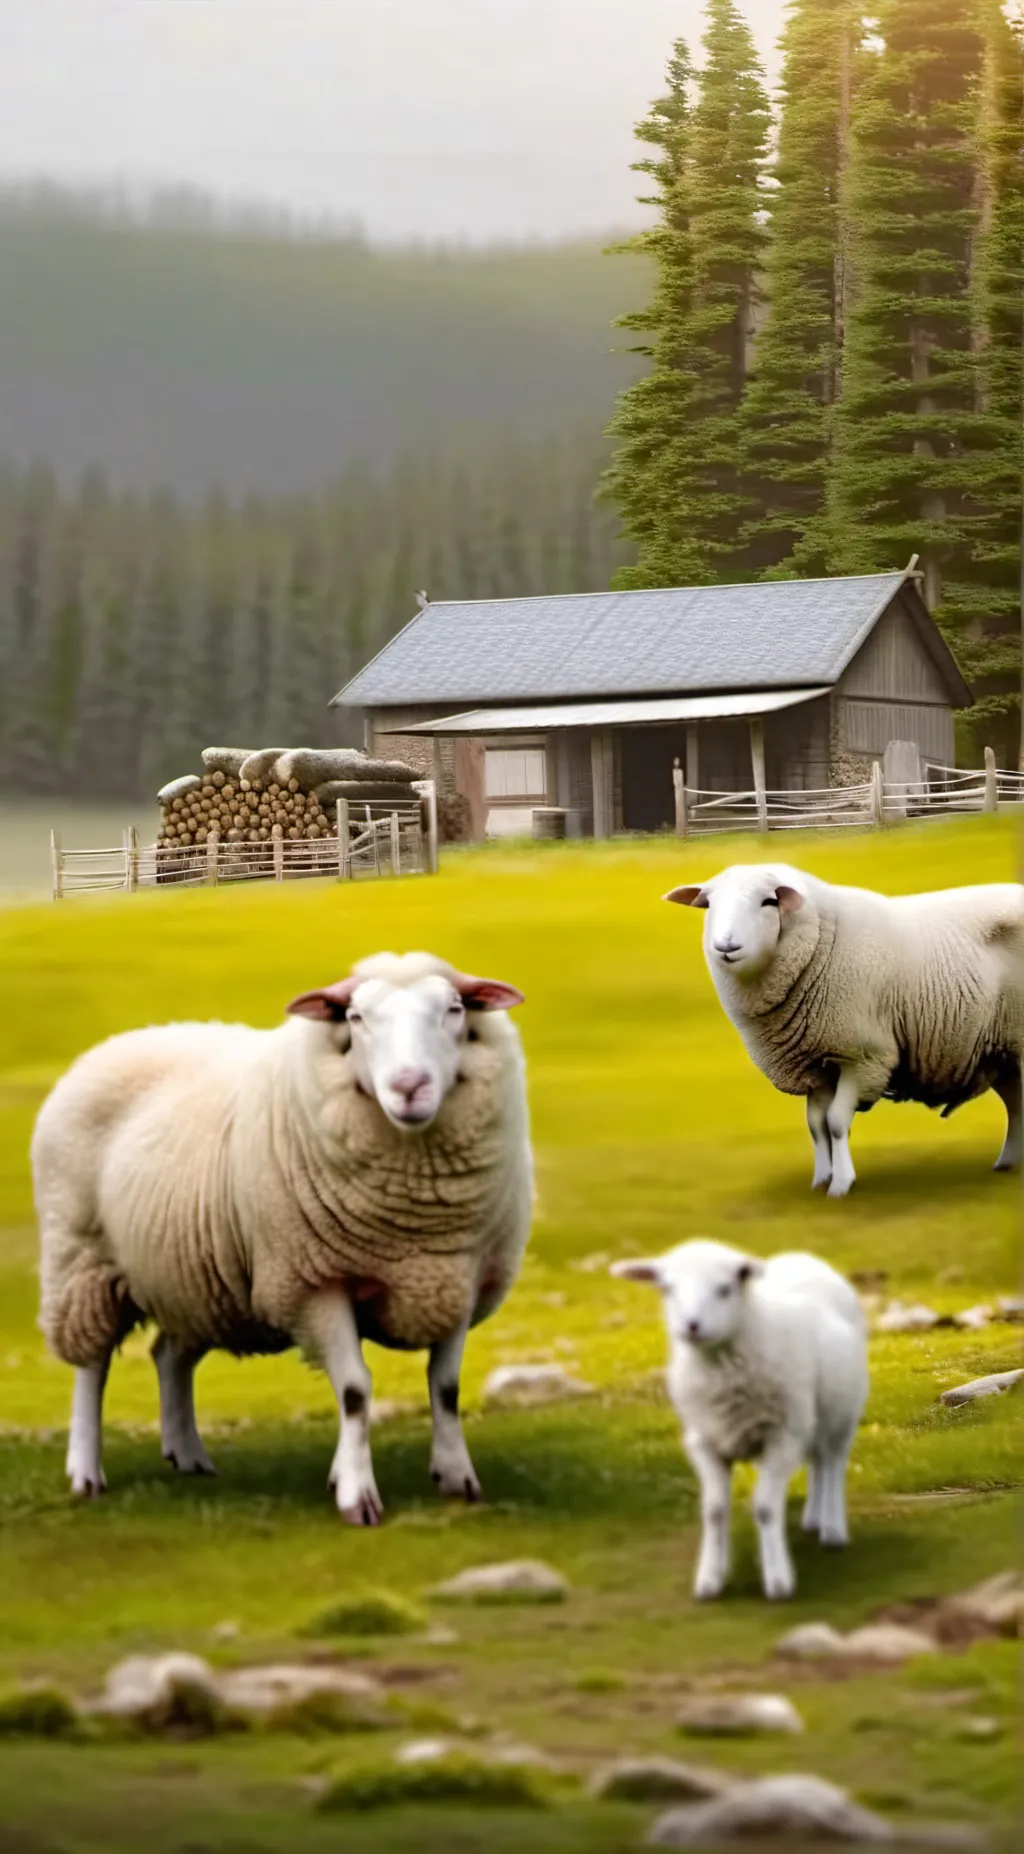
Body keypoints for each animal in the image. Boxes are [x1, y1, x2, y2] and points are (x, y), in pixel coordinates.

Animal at [32, 952, 532, 1523]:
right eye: (356, 1018)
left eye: (453, 1009)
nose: (409, 1086)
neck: (415, 1220)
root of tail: (117, 1042)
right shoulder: (316, 1283)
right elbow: (355, 1390)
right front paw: (357, 1494)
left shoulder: (457, 1278)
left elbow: (445, 1388)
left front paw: (456, 1476)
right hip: (81, 1263)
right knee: (90, 1367)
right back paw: (85, 1472)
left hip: (197, 1280)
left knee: (169, 1356)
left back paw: (188, 1453)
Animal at [612, 1241, 868, 1601]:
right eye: (668, 1289)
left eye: (724, 1289)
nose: (691, 1325)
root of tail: (801, 1256)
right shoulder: (704, 1440)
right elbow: (714, 1510)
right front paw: (711, 1578)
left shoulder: (782, 1436)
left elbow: (765, 1509)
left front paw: (778, 1581)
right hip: (810, 1420)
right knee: (817, 1464)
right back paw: (813, 1519)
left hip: (841, 1415)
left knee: (832, 1465)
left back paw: (832, 1528)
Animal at [665, 863, 1024, 1197]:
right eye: (709, 904)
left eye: (769, 901)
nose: (726, 946)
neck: (822, 941)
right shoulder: (816, 1061)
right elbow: (816, 1125)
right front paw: (821, 1179)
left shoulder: (863, 1057)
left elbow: (836, 1123)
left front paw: (841, 1184)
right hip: (1002, 1052)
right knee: (1016, 1104)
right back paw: (1008, 1162)